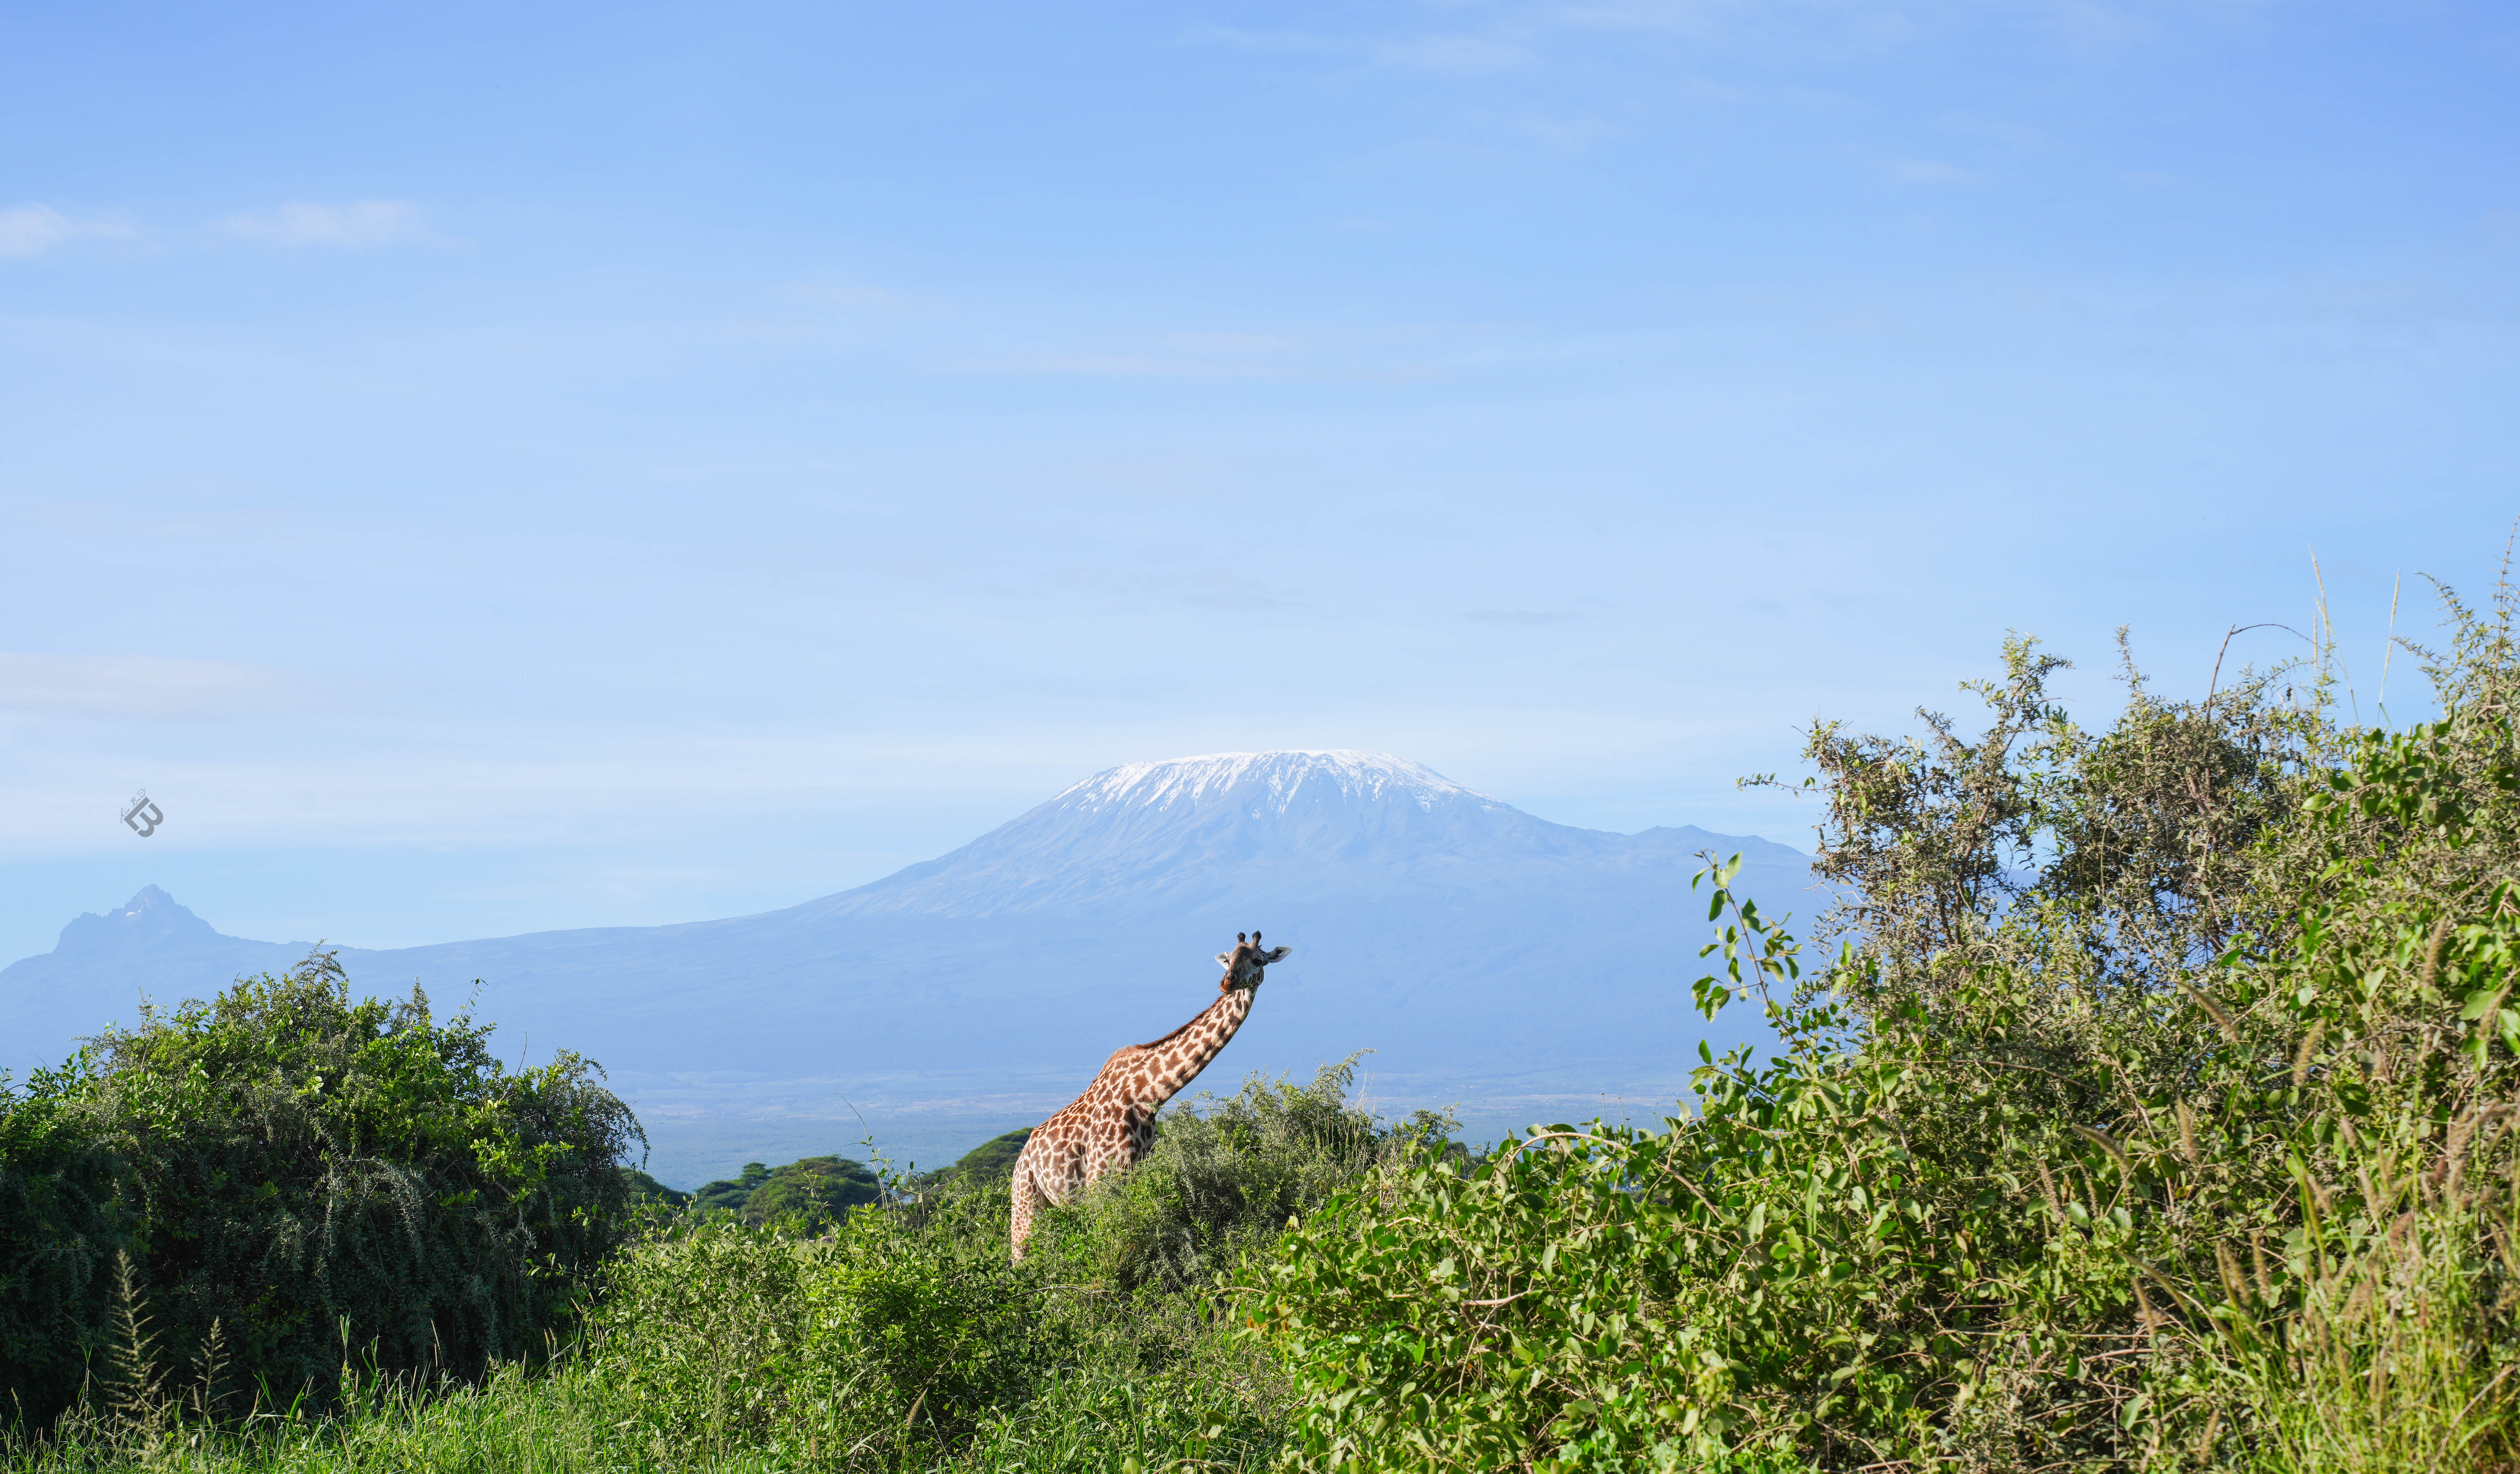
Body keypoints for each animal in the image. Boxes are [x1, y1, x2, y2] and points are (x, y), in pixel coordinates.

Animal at [1007, 930, 1292, 1261]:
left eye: (1258, 960)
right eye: (1230, 958)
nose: (1228, 982)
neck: (1148, 1093)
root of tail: (1021, 1158)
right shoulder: (1100, 1184)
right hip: (1026, 1205)